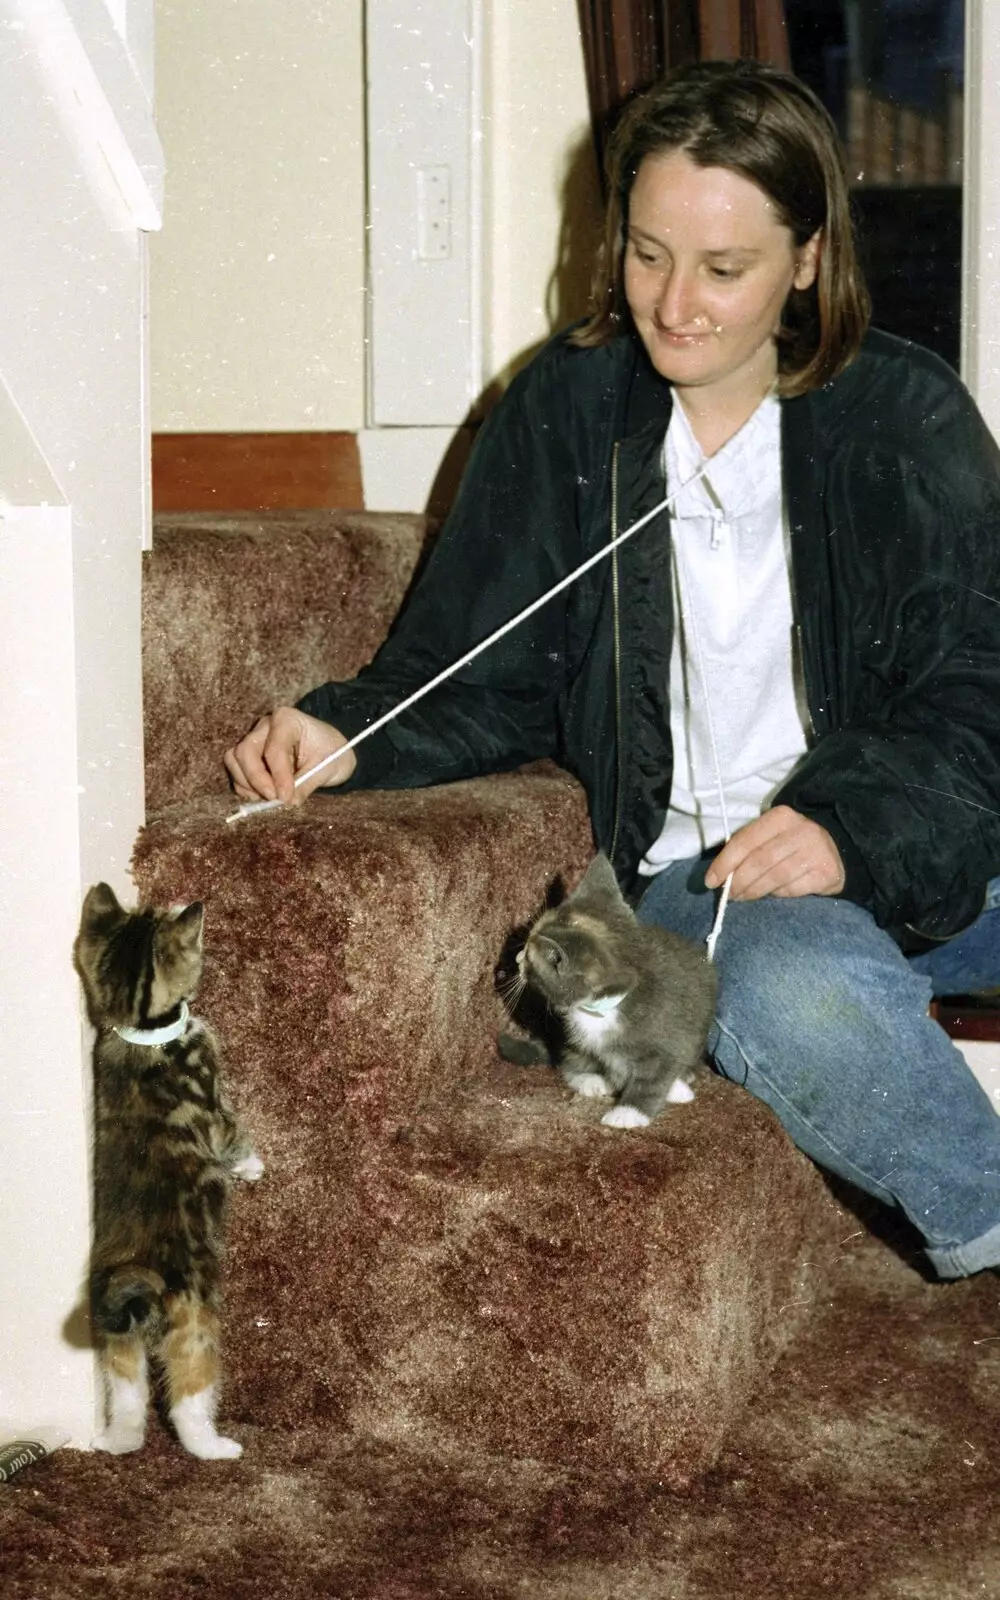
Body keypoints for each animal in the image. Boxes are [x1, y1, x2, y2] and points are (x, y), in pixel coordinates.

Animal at [73, 889, 260, 1465]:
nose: (178, 901)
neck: (146, 1034)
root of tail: (141, 1276)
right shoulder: (214, 1109)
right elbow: (233, 1135)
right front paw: (254, 1165)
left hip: (118, 1340)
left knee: (129, 1397)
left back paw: (115, 1441)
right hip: (195, 1321)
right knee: (187, 1398)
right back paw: (216, 1447)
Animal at [512, 857, 713, 1132]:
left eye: (530, 961)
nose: (517, 958)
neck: (604, 1007)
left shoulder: (668, 1032)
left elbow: (654, 1077)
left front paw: (629, 1112)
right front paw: (591, 1079)